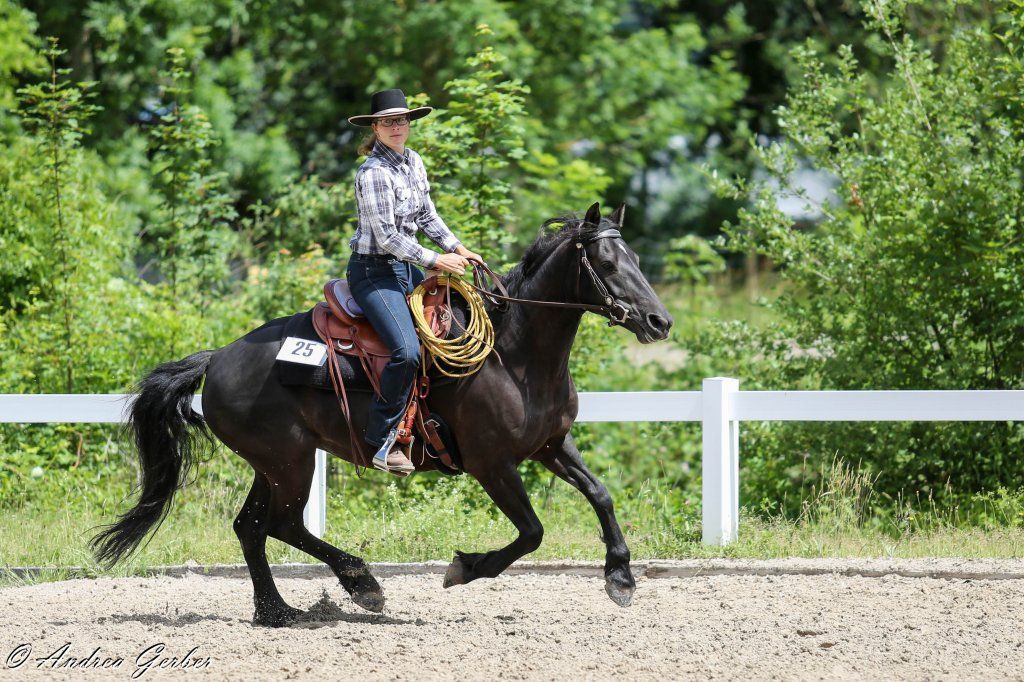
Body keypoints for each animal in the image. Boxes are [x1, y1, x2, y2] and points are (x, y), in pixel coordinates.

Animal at [91, 202, 673, 627]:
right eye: (607, 264)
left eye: (637, 261)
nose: (659, 321)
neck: (513, 356)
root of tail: (217, 359)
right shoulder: (491, 464)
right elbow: (531, 532)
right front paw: (463, 568)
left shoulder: (551, 446)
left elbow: (601, 494)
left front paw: (620, 577)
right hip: (289, 462)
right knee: (280, 523)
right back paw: (361, 584)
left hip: (273, 464)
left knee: (252, 528)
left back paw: (278, 610)